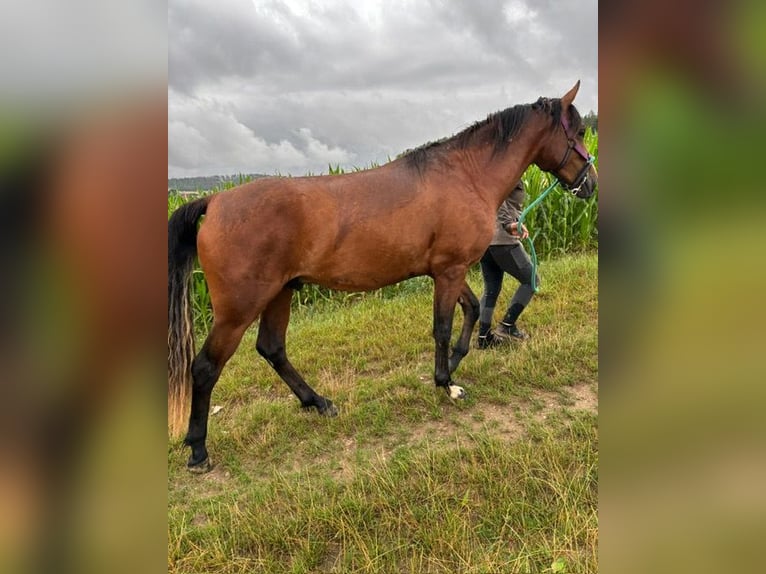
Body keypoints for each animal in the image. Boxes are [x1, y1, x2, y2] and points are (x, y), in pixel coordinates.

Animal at [168, 81, 597, 472]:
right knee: (205, 367)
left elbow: (473, 309)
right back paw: (198, 450)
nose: (589, 184)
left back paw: (318, 403)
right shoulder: (450, 270)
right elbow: (442, 327)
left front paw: (456, 363)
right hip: (238, 310)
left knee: (272, 348)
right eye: (578, 132)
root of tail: (215, 201)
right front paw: (446, 382)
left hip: (280, 293)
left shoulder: (448, 271)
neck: (466, 175)